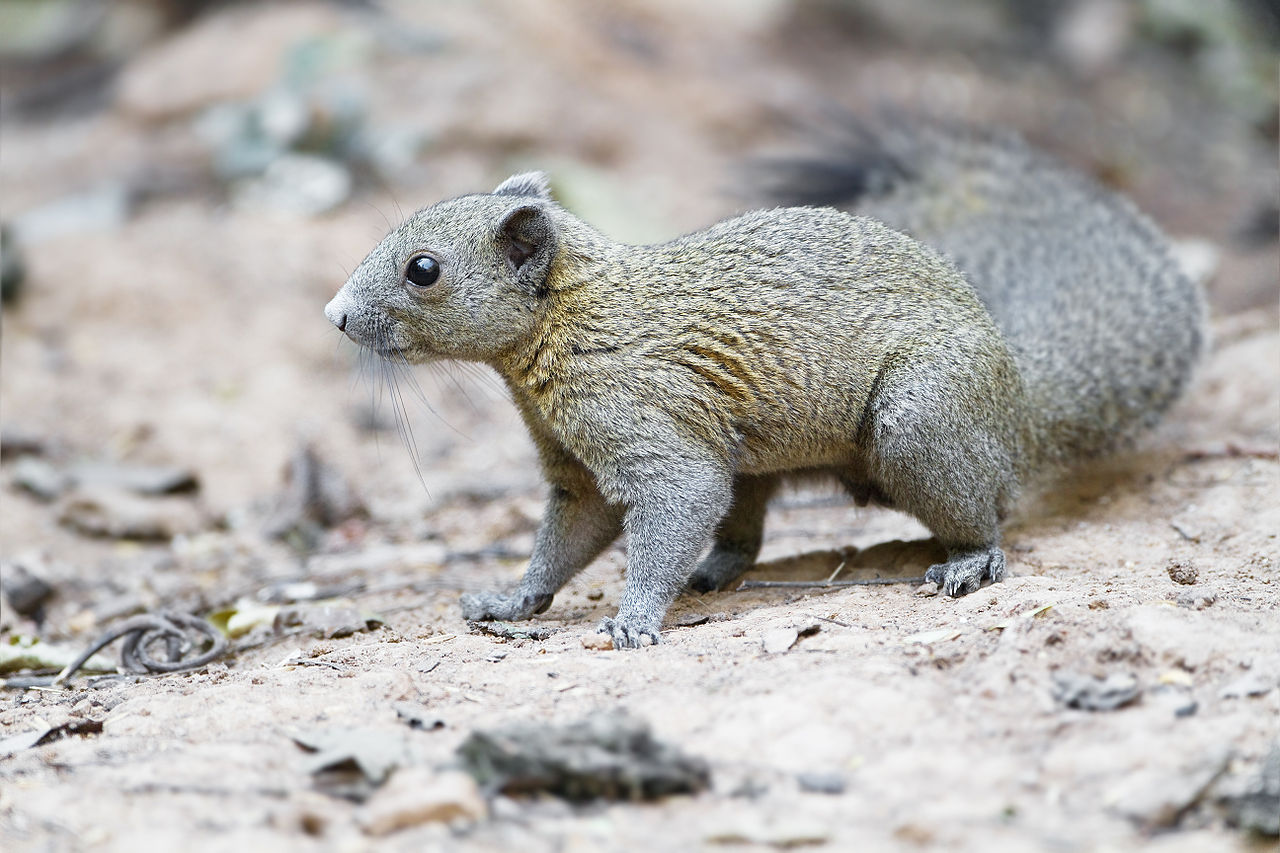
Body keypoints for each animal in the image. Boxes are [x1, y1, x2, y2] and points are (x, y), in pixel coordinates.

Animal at [325, 119, 1203, 648]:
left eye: (424, 270)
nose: (333, 316)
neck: (568, 323)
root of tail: (1019, 407)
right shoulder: (578, 470)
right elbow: (565, 542)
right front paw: (510, 601)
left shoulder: (641, 419)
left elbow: (675, 500)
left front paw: (634, 619)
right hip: (755, 456)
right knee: (743, 526)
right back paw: (716, 571)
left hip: (917, 420)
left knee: (988, 512)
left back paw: (968, 560)